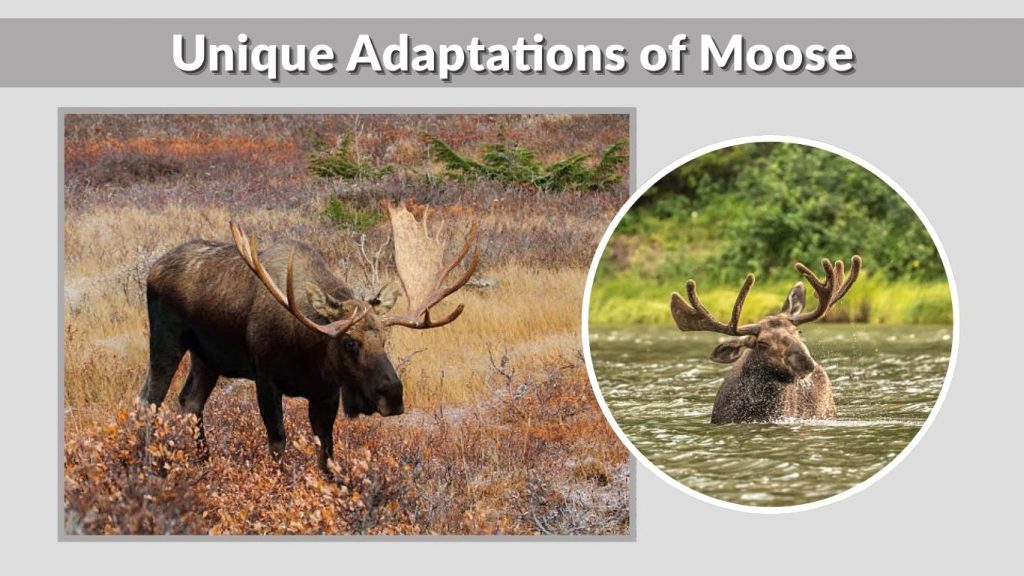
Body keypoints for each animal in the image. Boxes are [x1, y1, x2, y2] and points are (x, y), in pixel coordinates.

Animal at [139, 201, 477, 471]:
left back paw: (202, 463)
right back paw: (146, 465)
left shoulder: (326, 392)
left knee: (191, 401)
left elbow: (326, 454)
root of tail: (152, 269)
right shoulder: (266, 379)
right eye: (349, 341)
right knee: (149, 400)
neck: (307, 352)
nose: (393, 394)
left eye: (385, 338)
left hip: (207, 358)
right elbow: (278, 444)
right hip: (166, 341)